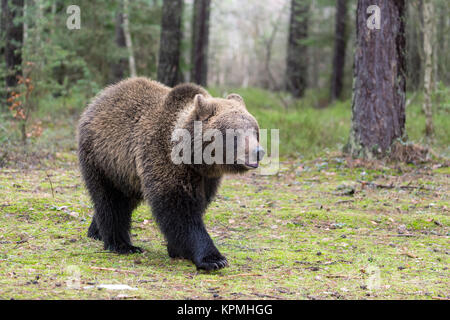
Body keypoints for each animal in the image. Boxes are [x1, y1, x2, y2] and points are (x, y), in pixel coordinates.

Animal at [77, 77, 264, 270]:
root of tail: (99, 98)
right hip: (104, 159)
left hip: (127, 174)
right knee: (111, 201)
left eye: (255, 130)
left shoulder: (206, 178)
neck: (194, 159)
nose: (258, 151)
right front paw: (213, 258)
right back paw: (122, 244)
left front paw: (177, 249)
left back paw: (95, 232)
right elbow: (179, 211)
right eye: (235, 134)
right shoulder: (165, 160)